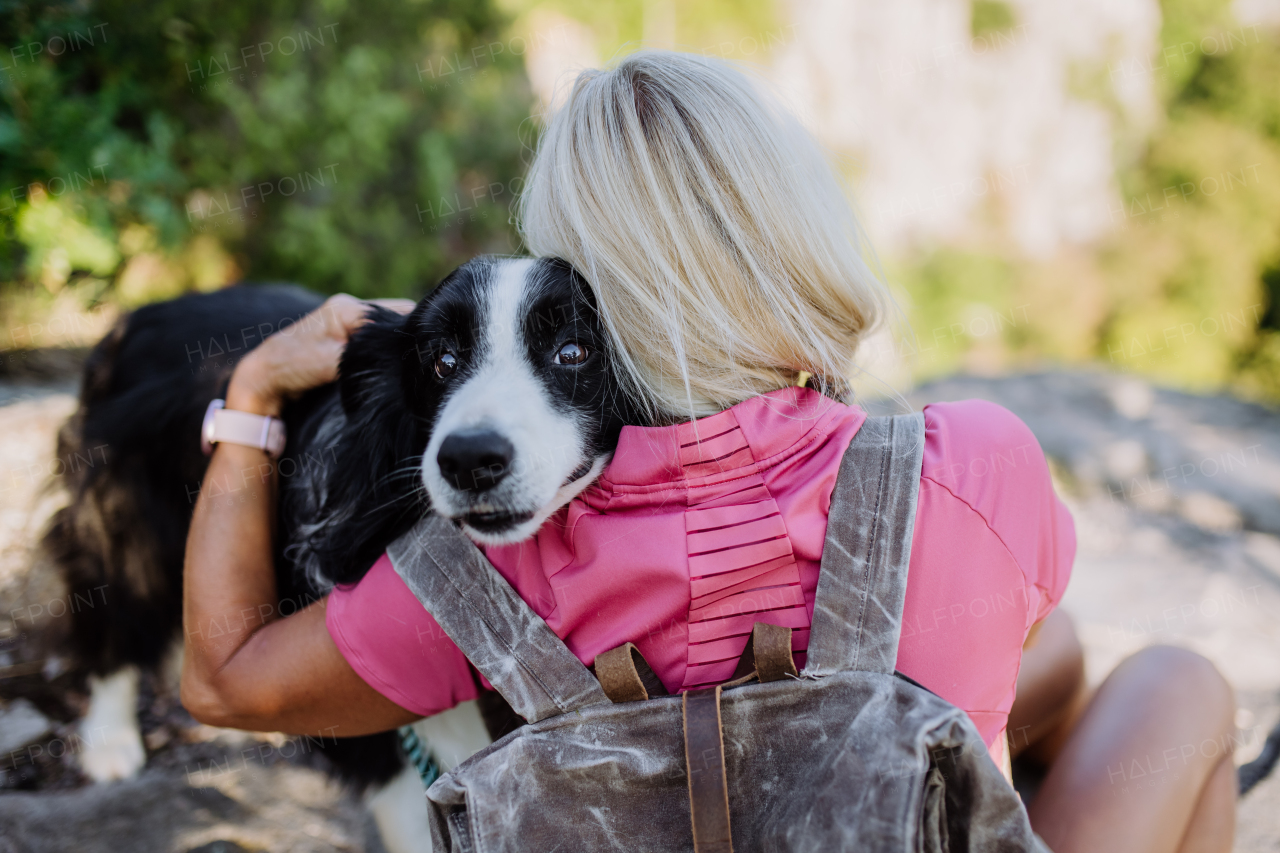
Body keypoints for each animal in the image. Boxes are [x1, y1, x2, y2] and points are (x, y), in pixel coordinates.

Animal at [40, 253, 640, 850]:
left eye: (574, 352)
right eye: (442, 362)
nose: (468, 460)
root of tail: (135, 318)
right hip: (125, 507)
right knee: (115, 601)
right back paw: (111, 745)